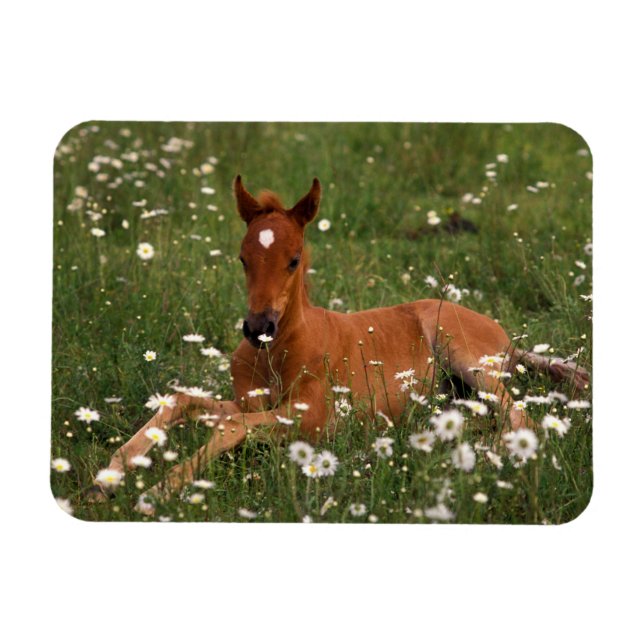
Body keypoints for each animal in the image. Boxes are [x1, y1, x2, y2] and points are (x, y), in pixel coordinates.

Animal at [91, 176, 589, 505]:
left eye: (294, 259)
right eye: (242, 257)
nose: (257, 328)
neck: (279, 352)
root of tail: (505, 338)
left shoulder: (313, 420)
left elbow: (228, 426)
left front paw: (158, 490)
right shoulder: (251, 403)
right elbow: (183, 402)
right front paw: (110, 474)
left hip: (464, 353)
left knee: (521, 418)